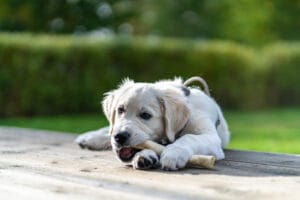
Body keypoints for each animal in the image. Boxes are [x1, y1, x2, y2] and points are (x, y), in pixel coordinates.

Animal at [77, 76, 230, 170]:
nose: (119, 137)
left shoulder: (211, 137)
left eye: (146, 115)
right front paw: (146, 155)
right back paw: (88, 138)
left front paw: (174, 153)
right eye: (120, 110)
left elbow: (189, 137)